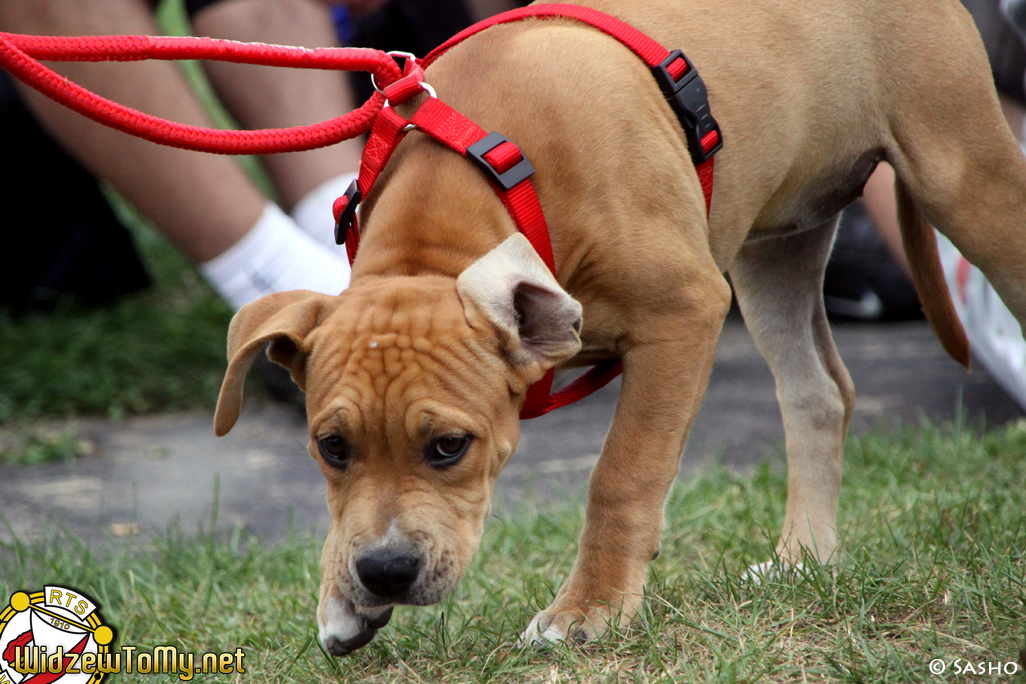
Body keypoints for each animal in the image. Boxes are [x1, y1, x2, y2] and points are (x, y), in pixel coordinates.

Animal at [212, 0, 1026, 652]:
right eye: (332, 447)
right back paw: (804, 560)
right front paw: (341, 596)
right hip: (775, 248)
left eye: (448, 447)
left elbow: (622, 473)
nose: (384, 572)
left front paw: (590, 610)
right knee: (819, 392)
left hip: (965, 178)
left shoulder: (684, 314)